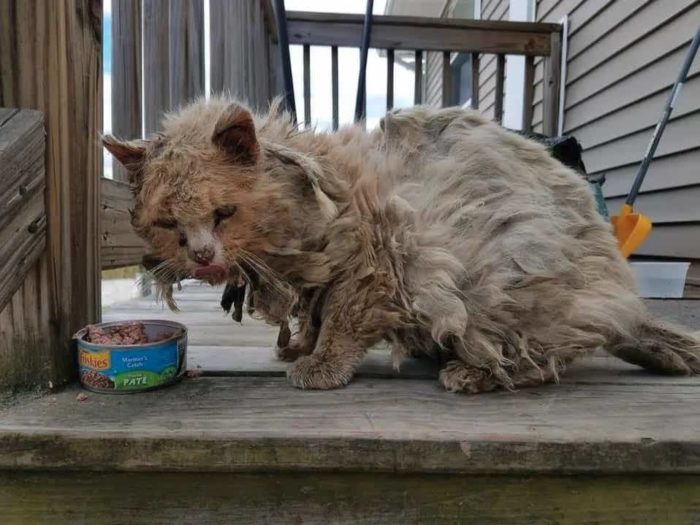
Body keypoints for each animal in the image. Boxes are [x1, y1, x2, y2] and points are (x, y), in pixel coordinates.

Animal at [104, 97, 700, 392]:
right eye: (167, 223)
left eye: (223, 214)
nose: (202, 256)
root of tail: (624, 302)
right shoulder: (326, 278)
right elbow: (313, 316)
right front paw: (298, 347)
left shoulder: (376, 266)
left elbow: (340, 324)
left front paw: (319, 367)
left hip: (508, 286)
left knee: (543, 359)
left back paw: (470, 374)